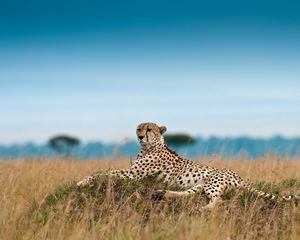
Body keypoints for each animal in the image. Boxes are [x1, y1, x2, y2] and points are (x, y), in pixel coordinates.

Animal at [78, 122, 300, 208]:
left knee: (218, 201)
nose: (140, 136)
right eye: (139, 128)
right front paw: (84, 180)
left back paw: (202, 209)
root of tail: (239, 176)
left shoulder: (133, 175)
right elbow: (106, 172)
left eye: (149, 129)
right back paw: (164, 193)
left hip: (212, 182)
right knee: (190, 194)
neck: (150, 147)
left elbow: (105, 173)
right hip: (201, 184)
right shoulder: (132, 173)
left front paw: (82, 181)